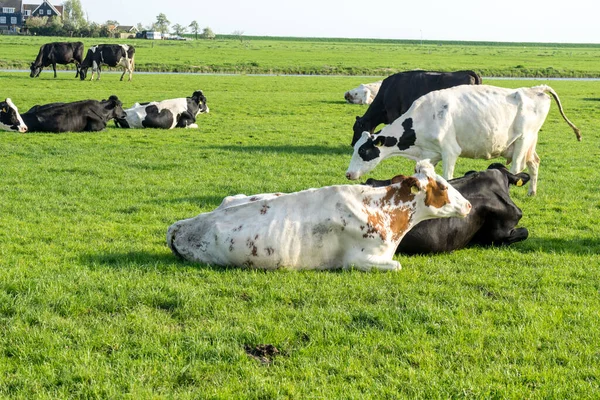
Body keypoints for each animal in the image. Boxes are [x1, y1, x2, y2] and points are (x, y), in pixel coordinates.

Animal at [166, 160, 472, 272]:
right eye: (443, 187)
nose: (469, 205)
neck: (383, 211)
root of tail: (179, 225)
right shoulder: (357, 260)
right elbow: (396, 265)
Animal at [346, 85, 580, 197]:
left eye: (363, 152)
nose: (348, 174)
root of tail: (535, 88)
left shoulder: (450, 152)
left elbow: (448, 178)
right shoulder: (430, 155)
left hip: (523, 140)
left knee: (516, 169)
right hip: (529, 143)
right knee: (534, 163)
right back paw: (532, 192)